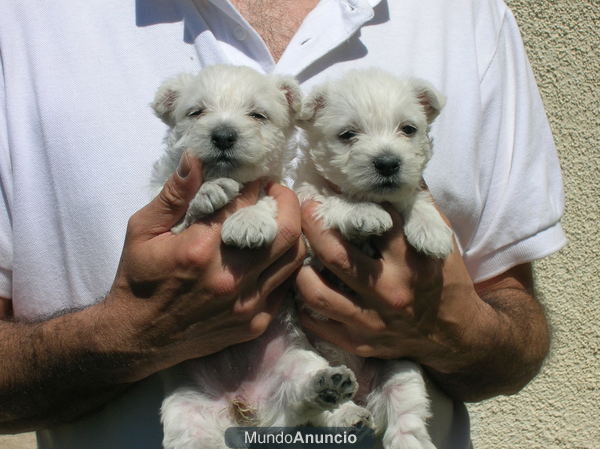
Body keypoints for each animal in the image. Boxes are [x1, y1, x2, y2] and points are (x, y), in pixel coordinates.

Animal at [151, 65, 370, 448]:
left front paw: (248, 220)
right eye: (196, 112)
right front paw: (209, 192)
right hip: (187, 413)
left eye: (257, 115)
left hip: (297, 360)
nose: (224, 135)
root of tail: (248, 407)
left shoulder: (282, 196)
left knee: (304, 398)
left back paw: (337, 396)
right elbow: (184, 217)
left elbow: (267, 199)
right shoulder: (168, 232)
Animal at [292, 67, 452, 448]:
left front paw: (433, 231)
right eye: (348, 134)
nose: (388, 163)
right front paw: (364, 213)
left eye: (408, 129)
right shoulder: (308, 207)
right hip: (307, 356)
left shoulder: (408, 190)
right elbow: (335, 202)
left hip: (401, 368)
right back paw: (346, 412)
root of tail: (362, 391)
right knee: (318, 407)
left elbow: (415, 198)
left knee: (406, 417)